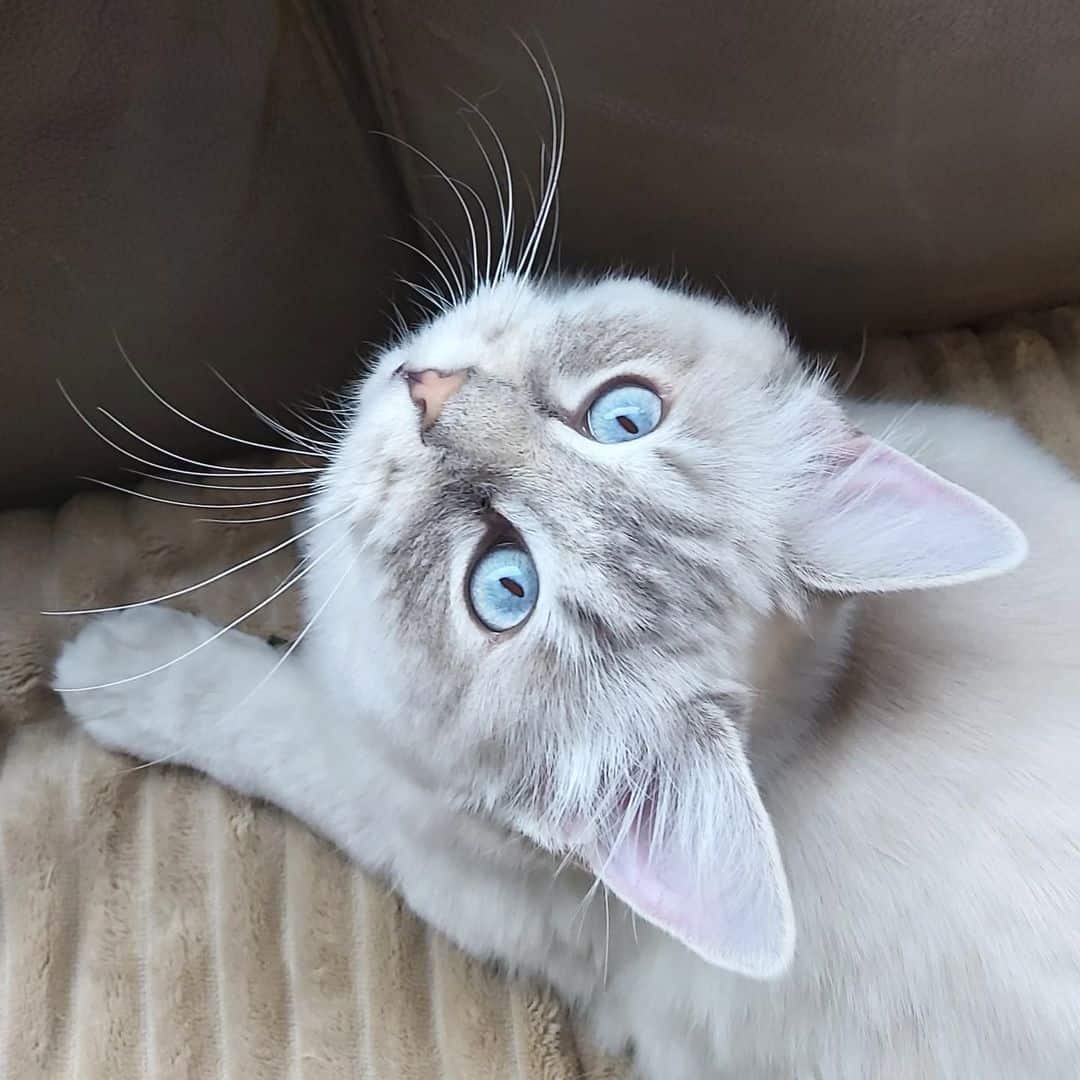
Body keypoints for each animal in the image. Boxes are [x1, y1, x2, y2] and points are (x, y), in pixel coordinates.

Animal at [52, 267, 1080, 1071]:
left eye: (504, 587)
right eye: (625, 416)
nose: (430, 395)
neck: (803, 735)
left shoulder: (426, 839)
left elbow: (270, 713)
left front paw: (115, 666)